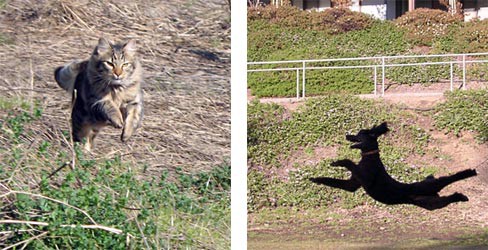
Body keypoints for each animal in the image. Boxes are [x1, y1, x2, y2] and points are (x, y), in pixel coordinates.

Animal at [312, 122, 476, 210]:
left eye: (358, 134)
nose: (347, 135)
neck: (369, 157)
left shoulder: (367, 179)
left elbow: (349, 163)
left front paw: (338, 162)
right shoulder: (352, 185)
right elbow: (333, 181)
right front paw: (315, 179)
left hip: (428, 188)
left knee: (446, 179)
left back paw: (470, 173)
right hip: (429, 202)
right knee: (446, 197)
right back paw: (460, 195)